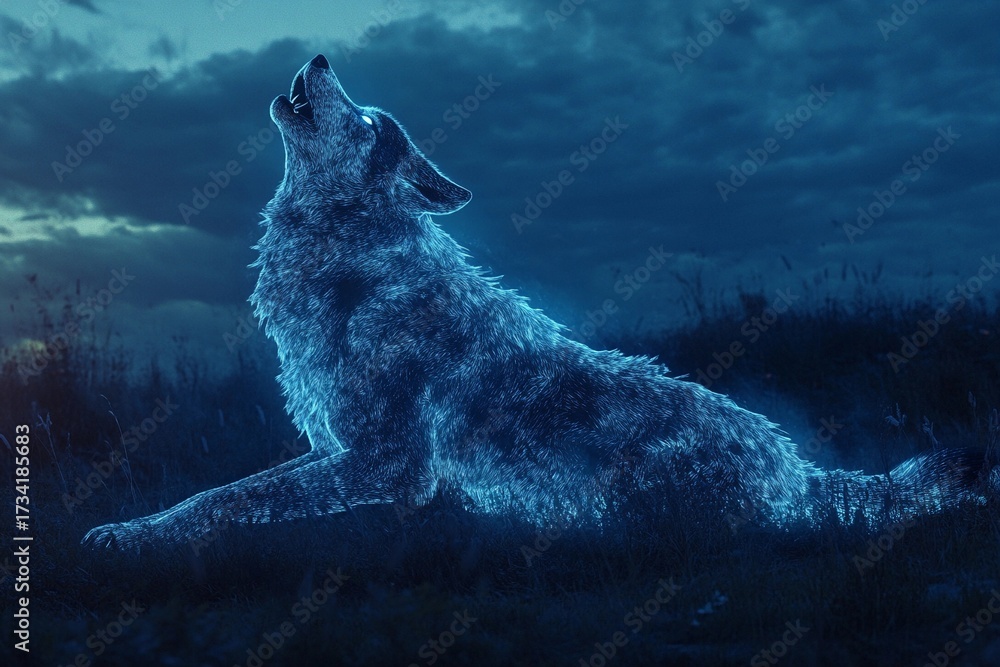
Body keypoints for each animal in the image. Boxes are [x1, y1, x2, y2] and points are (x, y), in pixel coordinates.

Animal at [83, 54, 993, 550]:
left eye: (370, 121)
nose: (318, 59)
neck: (351, 259)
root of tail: (799, 471)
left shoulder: (390, 467)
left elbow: (239, 501)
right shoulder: (337, 447)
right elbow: (210, 494)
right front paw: (128, 530)